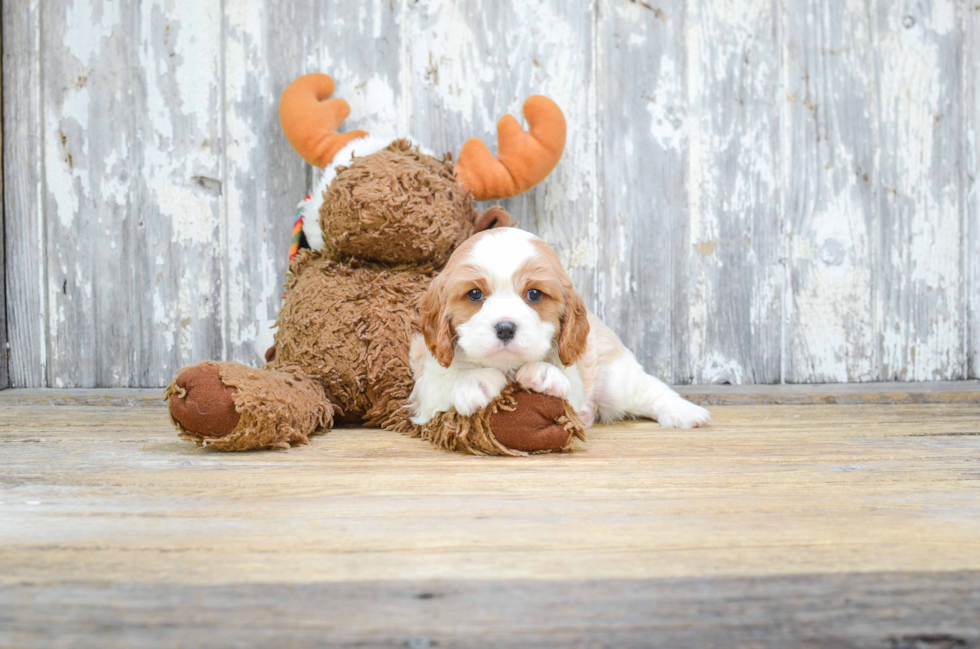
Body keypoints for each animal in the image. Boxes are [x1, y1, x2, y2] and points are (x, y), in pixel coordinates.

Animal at [408, 225, 712, 428]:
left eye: (534, 294)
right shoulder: (426, 386)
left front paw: (543, 374)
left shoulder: (577, 370)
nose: (505, 328)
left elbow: (566, 382)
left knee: (647, 390)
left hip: (614, 380)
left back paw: (685, 412)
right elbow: (443, 382)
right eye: (474, 294)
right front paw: (475, 381)